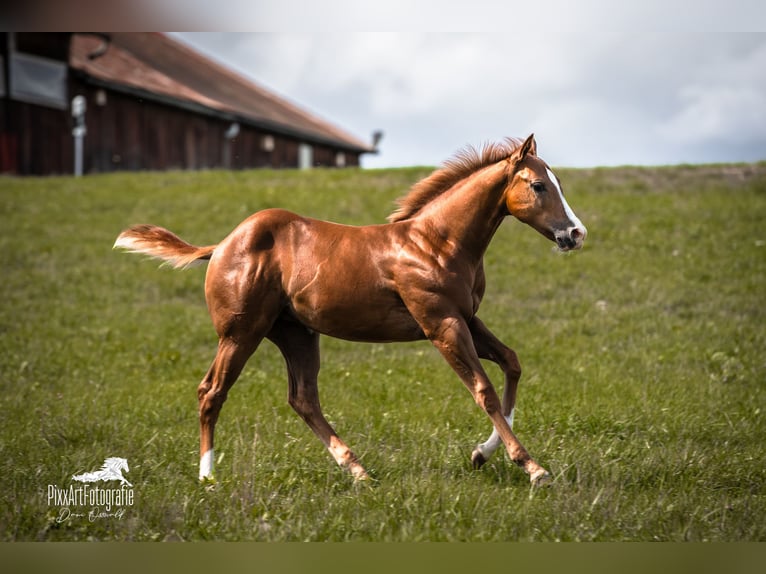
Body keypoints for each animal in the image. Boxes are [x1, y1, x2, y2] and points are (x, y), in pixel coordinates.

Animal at [114, 134, 586, 486]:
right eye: (539, 186)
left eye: (560, 184)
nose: (575, 234)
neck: (436, 242)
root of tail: (221, 245)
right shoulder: (441, 323)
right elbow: (483, 388)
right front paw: (532, 466)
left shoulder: (467, 318)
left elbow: (511, 362)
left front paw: (482, 454)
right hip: (240, 333)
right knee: (211, 391)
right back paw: (207, 476)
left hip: (296, 333)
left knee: (303, 398)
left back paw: (357, 469)